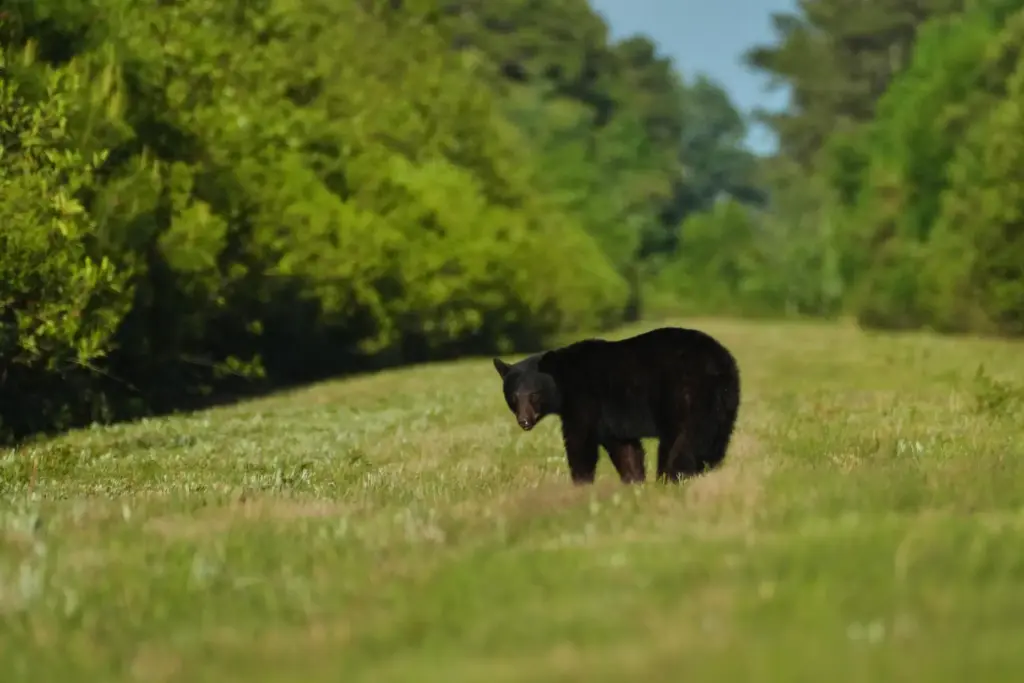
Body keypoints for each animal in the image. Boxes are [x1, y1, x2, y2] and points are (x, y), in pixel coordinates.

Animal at [492, 326, 741, 485]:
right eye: (513, 397)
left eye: (534, 394)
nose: (524, 421)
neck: (562, 380)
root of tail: (718, 363)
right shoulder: (612, 418)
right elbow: (625, 448)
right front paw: (634, 481)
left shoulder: (585, 399)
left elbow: (580, 441)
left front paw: (581, 484)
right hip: (724, 403)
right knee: (715, 442)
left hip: (684, 395)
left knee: (682, 439)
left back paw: (672, 477)